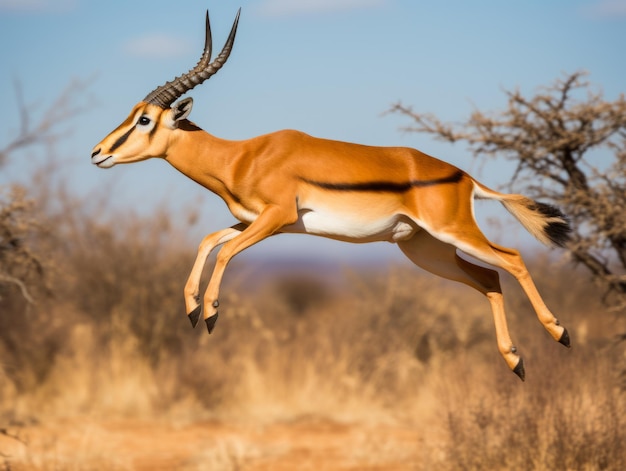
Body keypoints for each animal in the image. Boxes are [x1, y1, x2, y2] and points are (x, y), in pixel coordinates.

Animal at [91, 10, 572, 380]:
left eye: (145, 120)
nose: (98, 152)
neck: (242, 157)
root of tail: (466, 177)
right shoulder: (259, 222)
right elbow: (209, 241)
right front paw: (192, 308)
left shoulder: (276, 218)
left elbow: (224, 252)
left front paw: (210, 313)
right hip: (427, 250)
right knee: (490, 280)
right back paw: (516, 362)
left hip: (452, 233)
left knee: (512, 259)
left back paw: (560, 333)